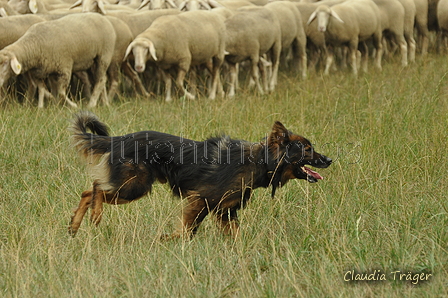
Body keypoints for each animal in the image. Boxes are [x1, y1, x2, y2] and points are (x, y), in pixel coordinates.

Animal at [68, 112, 330, 240]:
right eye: (307, 149)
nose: (329, 160)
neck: (260, 161)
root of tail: (119, 138)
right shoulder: (202, 200)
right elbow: (187, 231)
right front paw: (167, 239)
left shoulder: (225, 210)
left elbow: (235, 235)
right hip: (135, 186)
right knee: (96, 188)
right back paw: (95, 215)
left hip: (131, 186)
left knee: (87, 191)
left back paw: (73, 226)